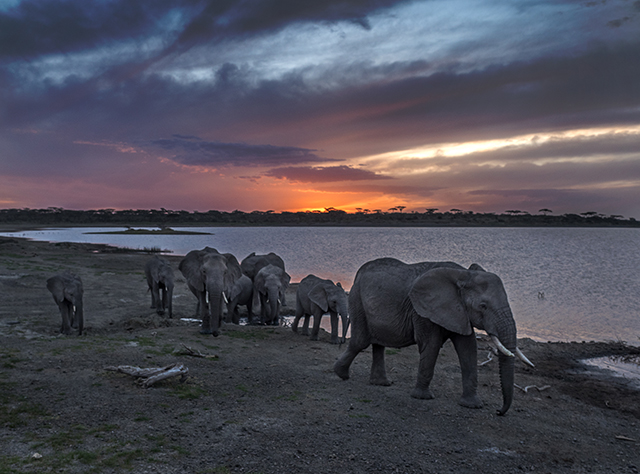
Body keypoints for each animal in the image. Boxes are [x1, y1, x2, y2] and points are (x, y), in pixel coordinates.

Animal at [332, 258, 532, 416]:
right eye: (483, 306)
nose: (499, 411)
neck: (463, 274)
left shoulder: (459, 312)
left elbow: (468, 348)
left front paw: (473, 405)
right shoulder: (422, 310)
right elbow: (432, 344)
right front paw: (422, 397)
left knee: (378, 343)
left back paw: (381, 383)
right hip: (357, 300)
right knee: (360, 341)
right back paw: (341, 374)